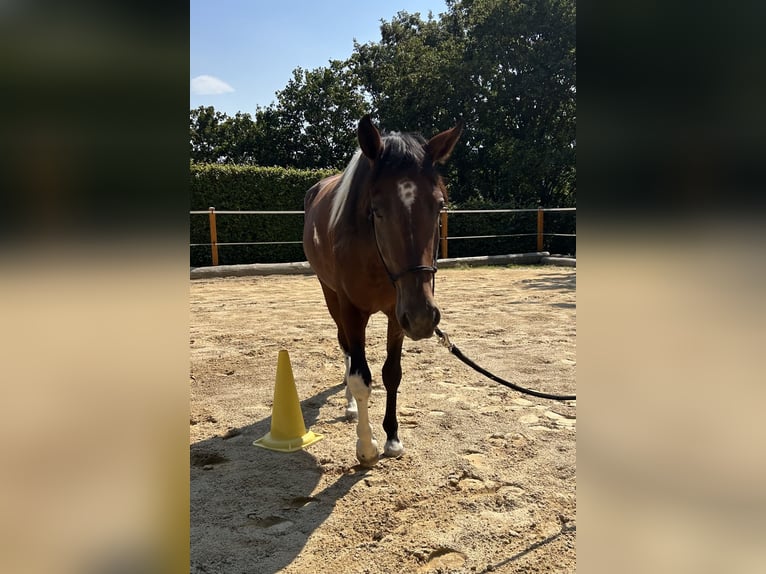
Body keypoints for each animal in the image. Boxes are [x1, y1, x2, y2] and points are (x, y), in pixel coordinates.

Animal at [303, 115, 462, 467]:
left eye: (439, 206)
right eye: (376, 209)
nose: (423, 318)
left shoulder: (396, 313)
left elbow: (392, 373)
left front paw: (392, 437)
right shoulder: (352, 309)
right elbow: (361, 377)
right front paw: (366, 447)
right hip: (330, 295)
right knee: (346, 349)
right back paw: (349, 405)